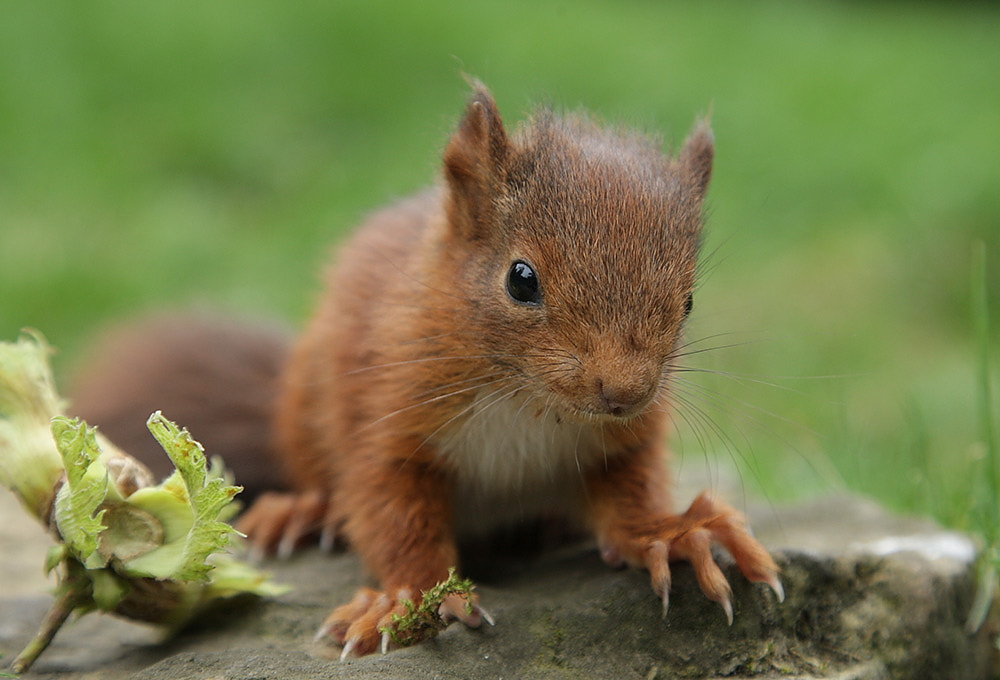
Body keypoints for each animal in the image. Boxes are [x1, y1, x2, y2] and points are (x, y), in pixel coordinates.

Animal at [74, 81, 784, 660]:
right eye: (521, 279)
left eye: (688, 300)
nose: (625, 392)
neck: (528, 402)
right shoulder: (387, 417)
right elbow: (393, 513)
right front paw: (405, 599)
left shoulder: (624, 442)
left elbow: (629, 496)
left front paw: (672, 533)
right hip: (306, 406)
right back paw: (307, 511)